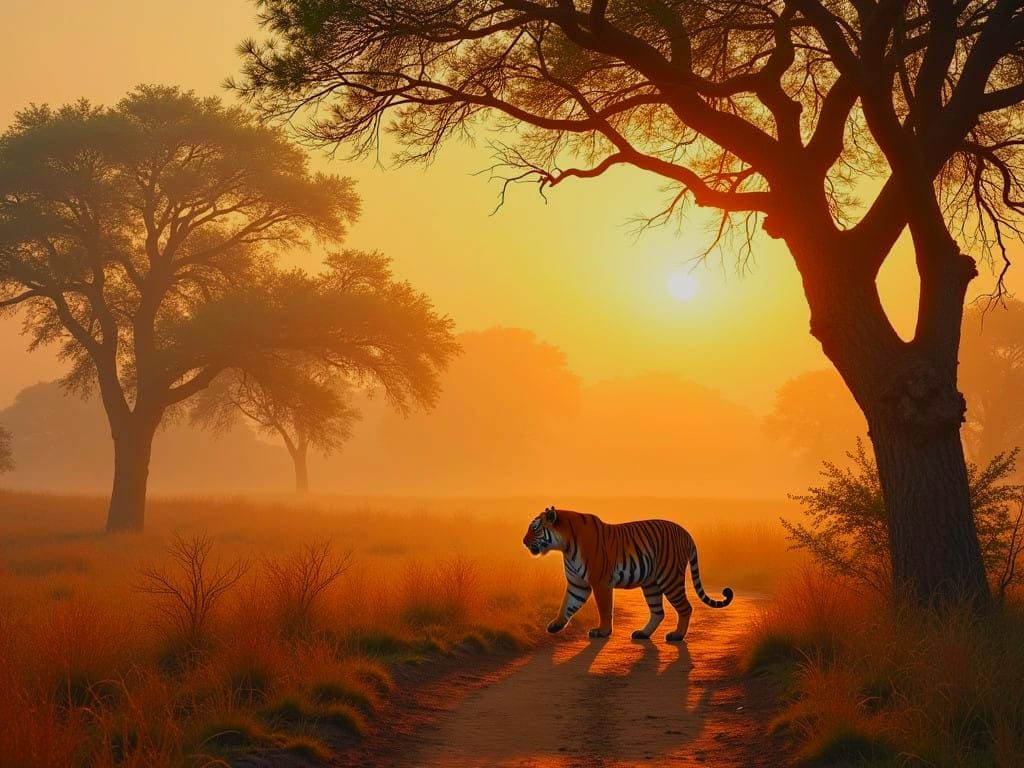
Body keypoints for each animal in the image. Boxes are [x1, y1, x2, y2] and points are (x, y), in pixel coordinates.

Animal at [522, 506, 733, 642]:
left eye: (535, 528)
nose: (523, 541)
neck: (565, 546)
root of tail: (686, 533)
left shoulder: (600, 582)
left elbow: (605, 609)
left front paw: (603, 631)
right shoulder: (577, 584)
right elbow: (567, 604)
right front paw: (555, 625)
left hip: (670, 577)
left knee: (685, 607)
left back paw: (677, 636)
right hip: (651, 584)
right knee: (658, 612)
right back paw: (643, 634)